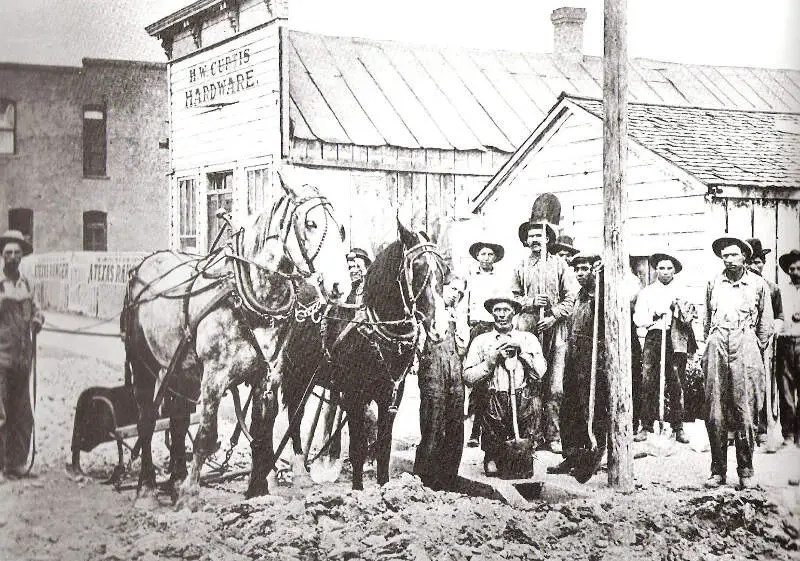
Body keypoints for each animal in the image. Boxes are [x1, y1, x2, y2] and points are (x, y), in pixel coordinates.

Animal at [122, 177, 354, 510]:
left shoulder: (268, 376)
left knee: (177, 417)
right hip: (143, 362)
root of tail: (142, 266)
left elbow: (261, 431)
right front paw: (190, 497)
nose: (340, 286)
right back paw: (148, 489)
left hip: (179, 369)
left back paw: (175, 479)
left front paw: (258, 491)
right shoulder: (215, 376)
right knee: (148, 419)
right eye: (310, 224)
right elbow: (206, 435)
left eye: (342, 229)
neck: (250, 297)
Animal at [280, 221, 450, 488]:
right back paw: (298, 469)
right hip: (295, 374)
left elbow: (383, 447)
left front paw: (383, 486)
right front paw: (358, 489)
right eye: (417, 267)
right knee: (295, 416)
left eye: (444, 270)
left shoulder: (391, 395)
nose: (440, 328)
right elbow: (358, 447)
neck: (375, 326)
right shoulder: (354, 394)